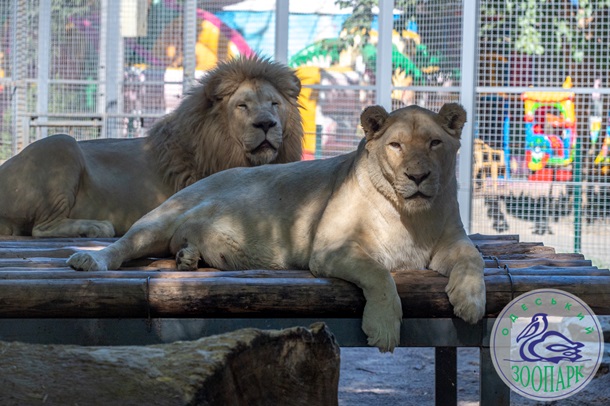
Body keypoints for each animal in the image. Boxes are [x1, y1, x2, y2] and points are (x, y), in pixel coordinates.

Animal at [0, 55, 302, 236]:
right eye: (242, 105)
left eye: (274, 103)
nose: (266, 124)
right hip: (62, 143)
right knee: (41, 228)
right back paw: (98, 227)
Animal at [66, 102, 484, 352]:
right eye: (396, 145)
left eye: (434, 143)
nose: (418, 177)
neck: (412, 215)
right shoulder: (331, 248)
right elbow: (380, 275)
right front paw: (383, 328)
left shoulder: (452, 239)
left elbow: (473, 257)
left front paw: (471, 301)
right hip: (162, 216)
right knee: (123, 245)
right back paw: (90, 261)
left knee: (185, 244)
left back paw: (188, 257)